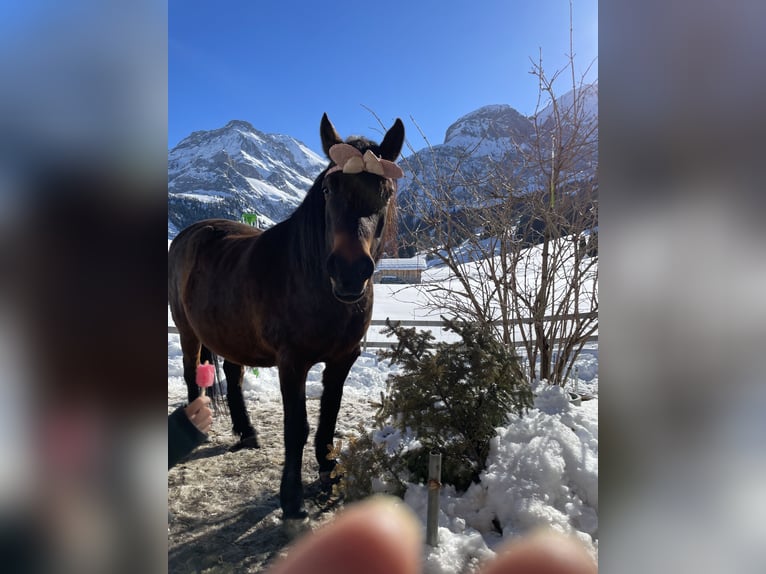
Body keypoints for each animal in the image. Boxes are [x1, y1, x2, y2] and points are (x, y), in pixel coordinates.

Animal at [169, 113, 408, 520]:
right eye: (328, 189)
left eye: (386, 192)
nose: (349, 272)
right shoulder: (292, 362)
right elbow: (296, 426)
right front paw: (292, 498)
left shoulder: (343, 358)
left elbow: (329, 414)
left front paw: (329, 471)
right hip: (188, 332)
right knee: (191, 373)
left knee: (233, 376)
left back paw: (246, 431)